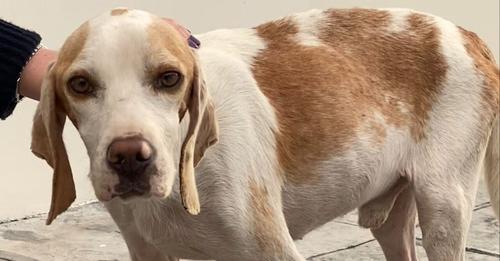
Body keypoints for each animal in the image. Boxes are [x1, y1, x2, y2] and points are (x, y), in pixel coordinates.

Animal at [32, 7, 500, 260]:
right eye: (80, 84)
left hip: (443, 208)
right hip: (394, 219)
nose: (130, 157)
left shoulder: (273, 250)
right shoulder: (149, 252)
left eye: (169, 78)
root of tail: (468, 34)